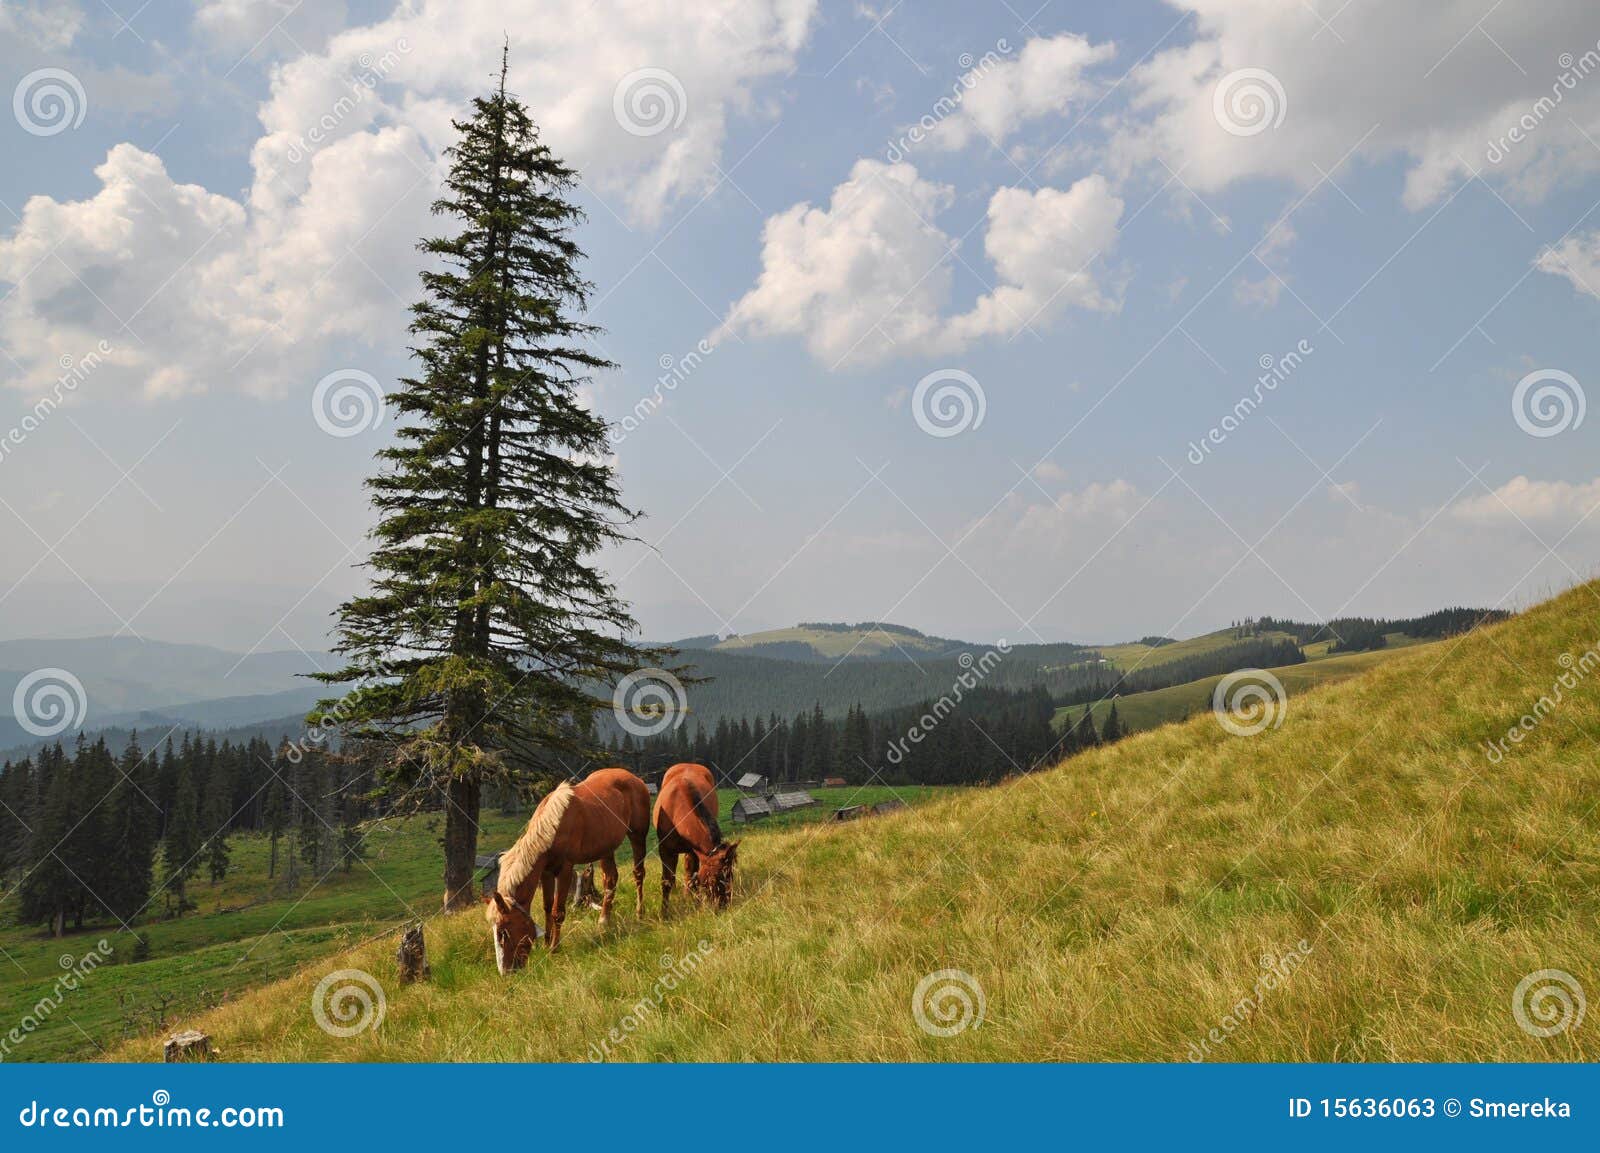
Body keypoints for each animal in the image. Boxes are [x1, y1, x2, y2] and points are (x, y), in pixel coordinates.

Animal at [483, 767, 650, 971]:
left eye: (503, 931)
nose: (506, 971)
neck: (553, 826)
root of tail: (633, 777)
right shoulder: (546, 872)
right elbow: (547, 907)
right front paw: (546, 942)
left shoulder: (565, 870)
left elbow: (558, 911)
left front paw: (554, 948)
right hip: (606, 848)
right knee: (610, 880)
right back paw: (604, 920)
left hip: (638, 836)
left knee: (638, 874)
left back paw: (639, 912)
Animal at [653, 762, 739, 914]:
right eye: (716, 877)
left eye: (731, 875)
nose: (724, 905)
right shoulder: (665, 849)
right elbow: (666, 880)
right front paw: (664, 912)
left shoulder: (693, 850)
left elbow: (691, 874)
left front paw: (693, 900)